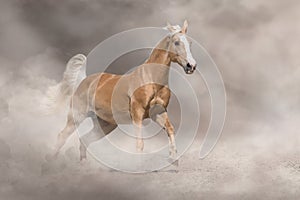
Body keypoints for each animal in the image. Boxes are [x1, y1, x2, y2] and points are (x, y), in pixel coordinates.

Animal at [49, 21, 197, 162]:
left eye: (190, 43)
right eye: (176, 42)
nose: (191, 66)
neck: (151, 80)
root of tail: (83, 80)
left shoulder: (159, 112)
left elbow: (170, 130)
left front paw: (173, 157)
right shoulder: (137, 114)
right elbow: (139, 144)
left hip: (105, 124)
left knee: (85, 139)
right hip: (77, 116)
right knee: (62, 136)